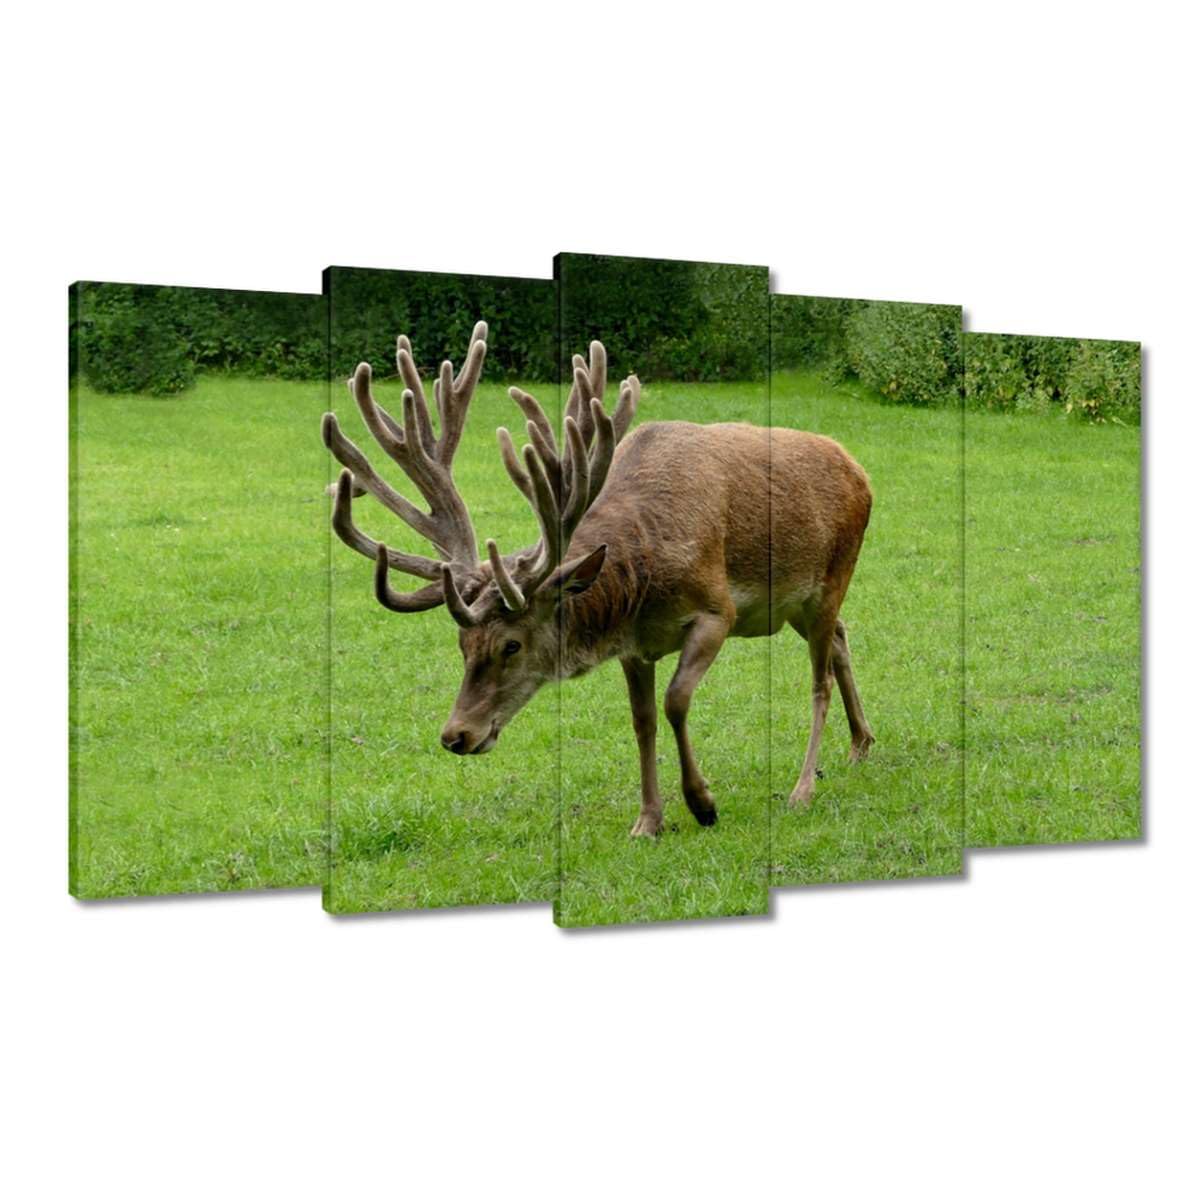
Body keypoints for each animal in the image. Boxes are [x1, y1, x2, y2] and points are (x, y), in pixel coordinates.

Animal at [322, 321, 874, 837]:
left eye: (511, 645)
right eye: (462, 645)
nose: (456, 735)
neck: (640, 579)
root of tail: (859, 470)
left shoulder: (718, 609)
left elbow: (676, 701)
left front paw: (702, 803)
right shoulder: (634, 644)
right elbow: (642, 721)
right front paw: (648, 820)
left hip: (833, 576)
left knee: (820, 678)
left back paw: (803, 788)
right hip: (797, 605)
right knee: (842, 638)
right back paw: (861, 743)